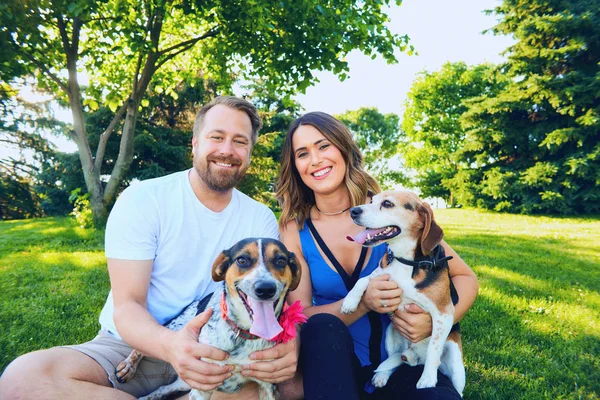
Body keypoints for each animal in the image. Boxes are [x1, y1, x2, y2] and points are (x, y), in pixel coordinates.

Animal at [113, 238, 300, 400]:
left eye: (281, 260)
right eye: (242, 260)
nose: (266, 288)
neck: (243, 334)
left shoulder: (268, 384)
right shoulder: (201, 385)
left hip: (184, 382)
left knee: (163, 388)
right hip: (172, 331)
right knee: (142, 345)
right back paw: (128, 366)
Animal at [342, 192, 464, 396]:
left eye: (387, 203)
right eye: (371, 201)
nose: (353, 211)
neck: (406, 261)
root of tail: (415, 358)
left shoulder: (444, 313)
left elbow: (434, 349)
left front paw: (428, 379)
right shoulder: (380, 276)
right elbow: (363, 280)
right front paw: (349, 302)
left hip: (456, 362)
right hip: (390, 335)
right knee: (395, 361)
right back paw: (382, 375)